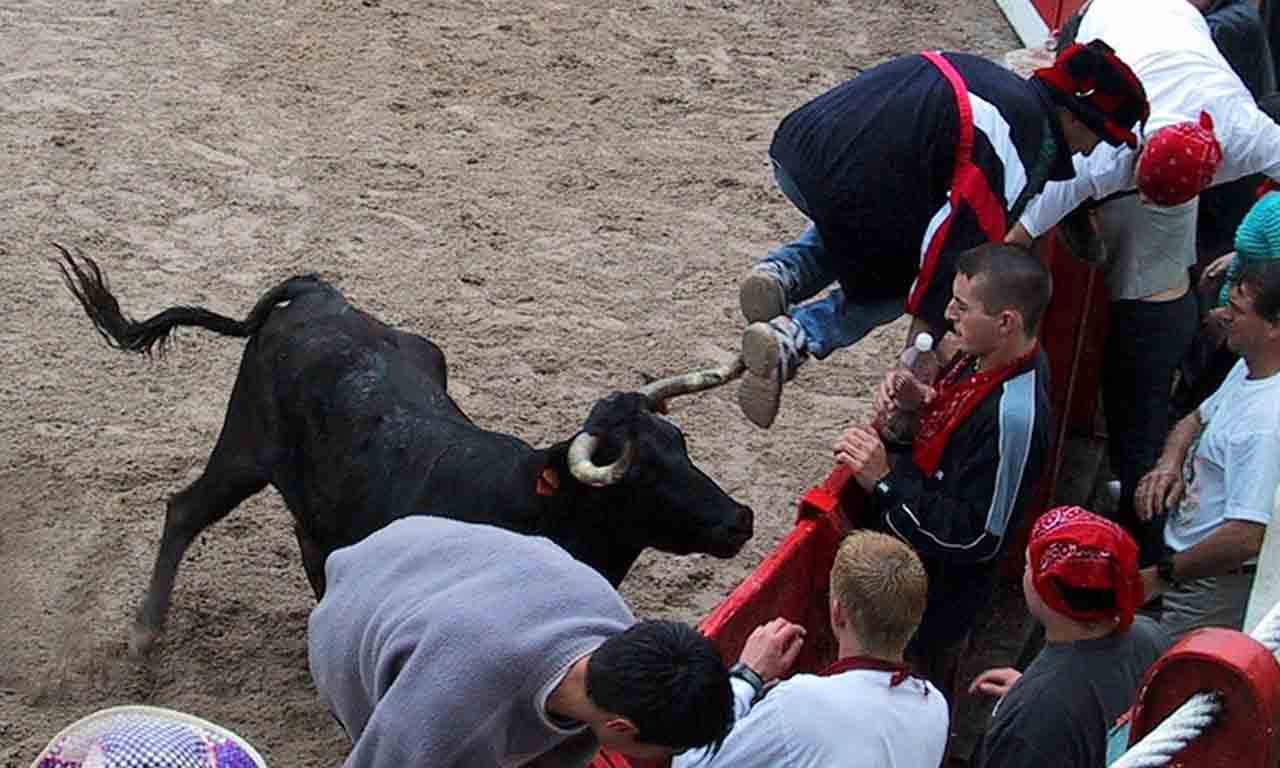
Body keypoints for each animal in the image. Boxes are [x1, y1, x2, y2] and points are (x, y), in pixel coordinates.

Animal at [57, 247, 747, 652]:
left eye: (682, 446)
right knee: (185, 511)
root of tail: (319, 295)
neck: (531, 511)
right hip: (243, 451)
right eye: (642, 477)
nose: (740, 519)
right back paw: (145, 633)